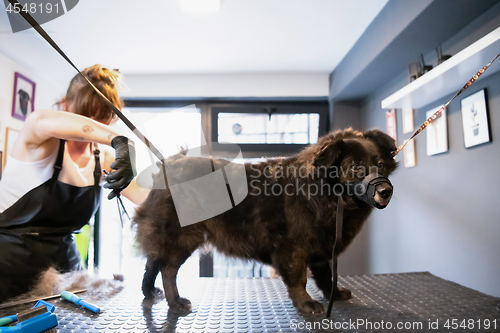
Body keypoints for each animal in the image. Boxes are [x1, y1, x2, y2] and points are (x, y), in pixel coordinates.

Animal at [134, 127, 398, 314]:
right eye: (356, 168)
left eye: (380, 164)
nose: (386, 191)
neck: (325, 194)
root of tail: (166, 165)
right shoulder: (292, 249)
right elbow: (299, 279)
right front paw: (306, 304)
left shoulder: (322, 245)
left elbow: (325, 275)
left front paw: (333, 292)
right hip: (183, 237)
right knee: (167, 269)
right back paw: (175, 301)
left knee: (152, 263)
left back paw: (150, 293)